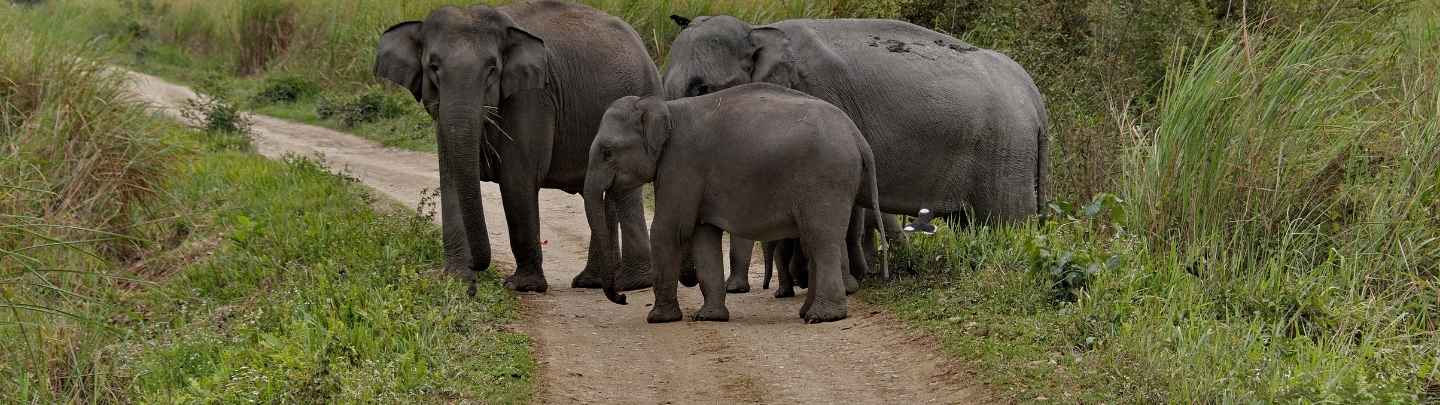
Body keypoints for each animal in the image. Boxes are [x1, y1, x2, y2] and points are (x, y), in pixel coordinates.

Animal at [373, 1, 658, 293]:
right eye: (433, 67)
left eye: (492, 69)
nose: (479, 267)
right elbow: (450, 177)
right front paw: (456, 279)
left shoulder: (532, 97)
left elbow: (517, 179)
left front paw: (522, 286)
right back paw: (593, 282)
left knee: (622, 193)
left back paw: (629, 283)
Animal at [584, 83, 882, 323]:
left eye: (607, 152)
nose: (622, 298)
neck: (665, 108)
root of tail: (858, 138)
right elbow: (702, 235)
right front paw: (709, 317)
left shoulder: (682, 165)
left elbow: (669, 230)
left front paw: (658, 319)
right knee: (813, 240)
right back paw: (807, 313)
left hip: (826, 180)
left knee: (821, 239)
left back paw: (822, 317)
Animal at [662, 15, 1049, 281]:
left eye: (701, 89)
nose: (688, 279)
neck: (758, 30)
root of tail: (1034, 95)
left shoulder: (821, 96)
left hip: (1006, 153)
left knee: (1006, 222)